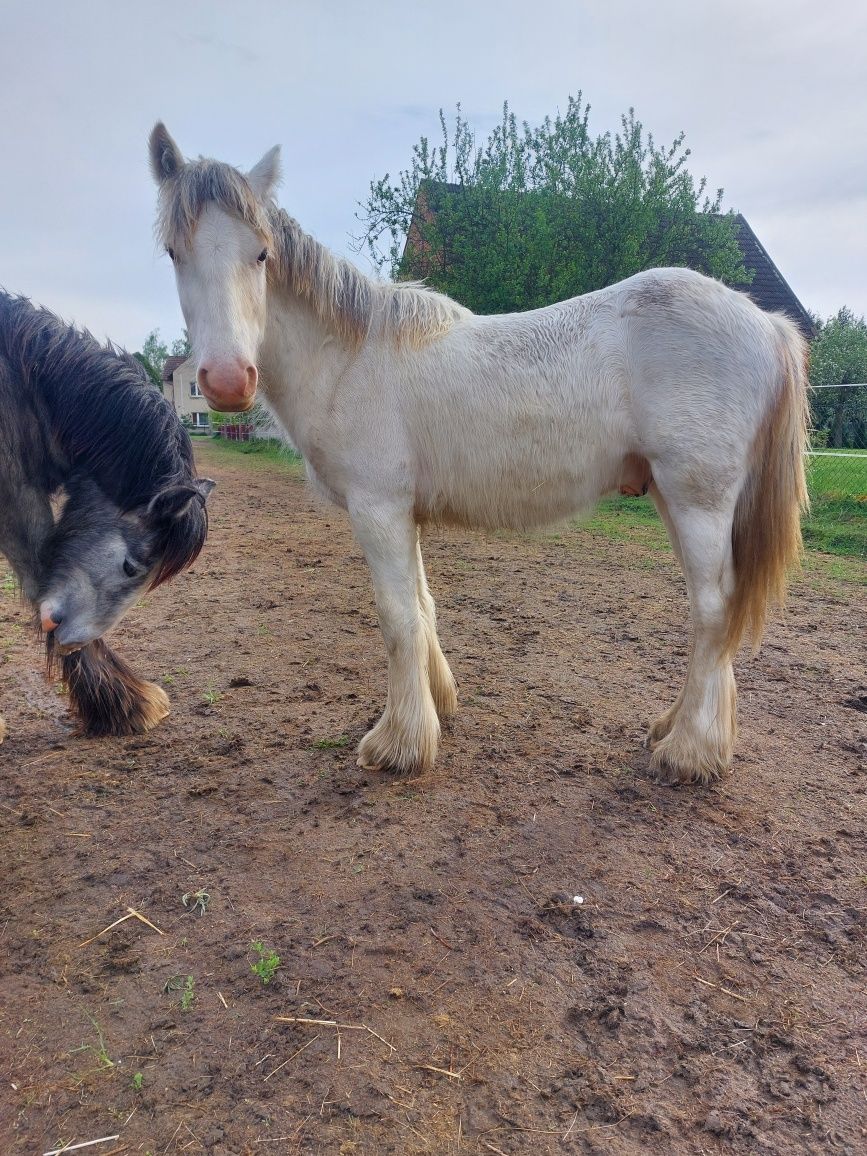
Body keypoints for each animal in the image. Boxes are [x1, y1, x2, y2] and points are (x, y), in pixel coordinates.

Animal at [151, 124, 813, 786]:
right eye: (174, 253)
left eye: (261, 253)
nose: (227, 380)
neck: (351, 357)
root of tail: (765, 323)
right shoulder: (404, 514)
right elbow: (422, 607)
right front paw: (435, 706)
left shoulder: (378, 509)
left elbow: (397, 619)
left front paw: (399, 743)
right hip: (674, 500)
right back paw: (680, 729)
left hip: (698, 499)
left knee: (713, 610)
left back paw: (690, 752)